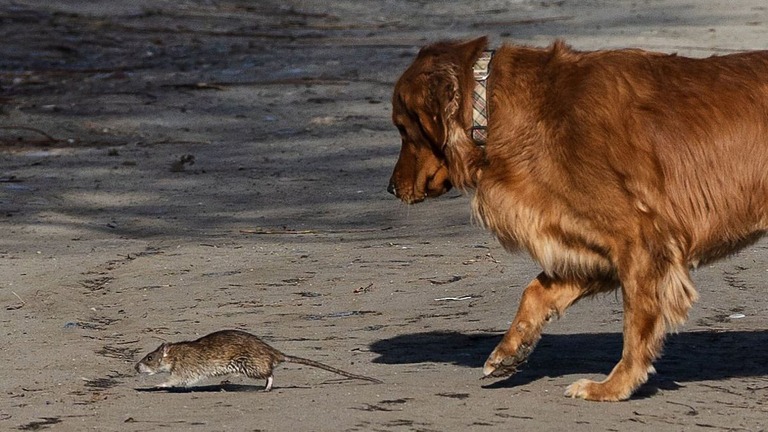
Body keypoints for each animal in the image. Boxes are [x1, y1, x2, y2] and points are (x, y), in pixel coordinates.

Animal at [390, 38, 768, 402]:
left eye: (403, 129)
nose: (391, 188)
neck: (496, 109)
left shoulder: (639, 240)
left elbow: (636, 324)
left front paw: (614, 386)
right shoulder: (587, 242)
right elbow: (536, 290)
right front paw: (511, 348)